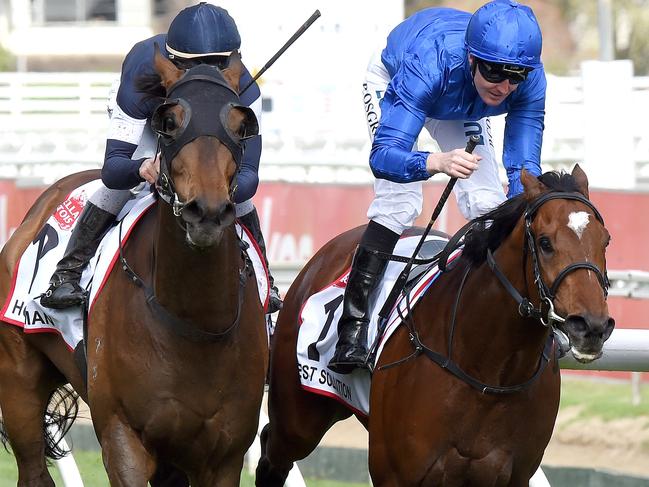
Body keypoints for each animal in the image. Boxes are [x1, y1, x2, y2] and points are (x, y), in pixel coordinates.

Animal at [0, 47, 268, 486]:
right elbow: (118, 165)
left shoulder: (224, 455)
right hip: (20, 383)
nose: (207, 213)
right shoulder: (123, 436)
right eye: (169, 122)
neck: (196, 323)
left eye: (240, 124)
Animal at [256, 165, 612, 487]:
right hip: (298, 420)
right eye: (545, 242)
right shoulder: (396, 474)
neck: (487, 371)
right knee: (272, 453)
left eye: (605, 240)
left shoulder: (511, 476)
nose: (591, 326)